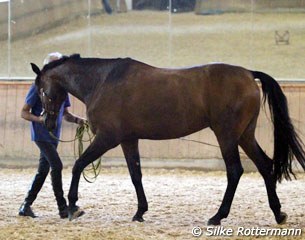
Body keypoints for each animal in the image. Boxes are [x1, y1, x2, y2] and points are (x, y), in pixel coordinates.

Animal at [30, 53, 304, 224]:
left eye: (41, 89)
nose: (47, 122)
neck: (102, 82)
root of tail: (248, 73)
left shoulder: (107, 138)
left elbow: (78, 165)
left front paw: (73, 206)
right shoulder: (128, 140)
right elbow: (136, 174)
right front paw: (140, 212)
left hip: (227, 135)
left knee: (235, 171)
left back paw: (218, 216)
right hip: (244, 135)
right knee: (265, 166)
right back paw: (278, 213)